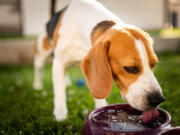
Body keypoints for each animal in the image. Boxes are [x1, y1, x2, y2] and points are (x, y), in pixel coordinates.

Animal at [33, 0, 165, 122]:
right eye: (130, 68)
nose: (158, 99)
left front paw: (100, 107)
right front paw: (60, 116)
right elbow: (59, 93)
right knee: (39, 69)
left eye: (153, 65)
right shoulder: (59, 62)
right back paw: (37, 86)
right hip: (42, 54)